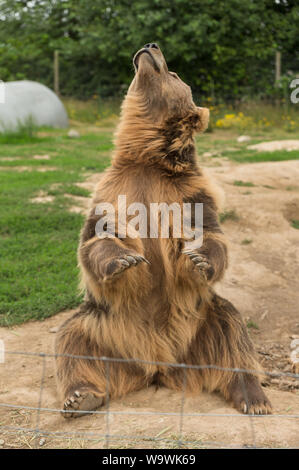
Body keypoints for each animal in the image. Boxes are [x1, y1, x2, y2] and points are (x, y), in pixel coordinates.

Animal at [55, 42, 274, 416]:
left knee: (233, 334)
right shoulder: (112, 189)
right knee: (72, 340)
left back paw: (253, 396)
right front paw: (124, 260)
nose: (150, 46)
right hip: (101, 322)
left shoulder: (190, 191)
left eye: (173, 73)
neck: (149, 158)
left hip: (204, 316)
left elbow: (210, 232)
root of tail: (159, 363)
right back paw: (81, 396)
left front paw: (199, 259)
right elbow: (96, 236)